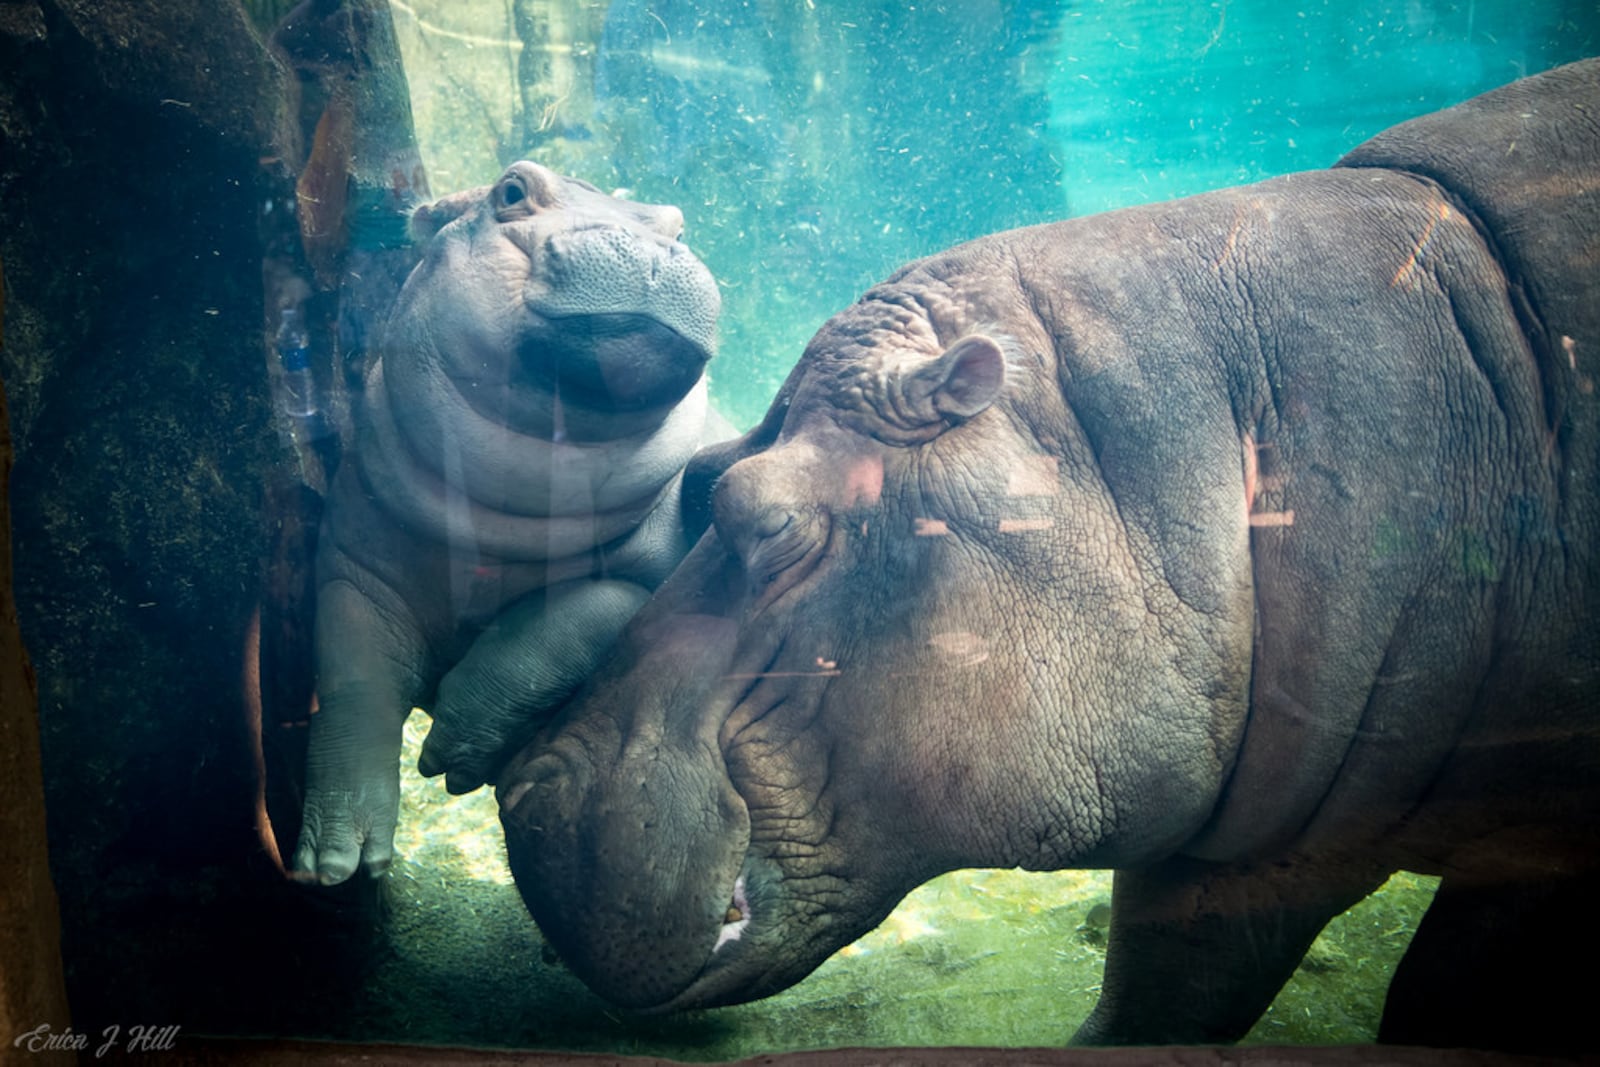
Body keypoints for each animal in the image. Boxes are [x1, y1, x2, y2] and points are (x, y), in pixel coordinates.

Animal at [294, 163, 726, 889]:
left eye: (680, 224)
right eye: (512, 190)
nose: (645, 244)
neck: (510, 526)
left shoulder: (672, 569)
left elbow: (576, 613)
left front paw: (453, 751)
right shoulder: (356, 572)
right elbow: (353, 689)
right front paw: (335, 864)